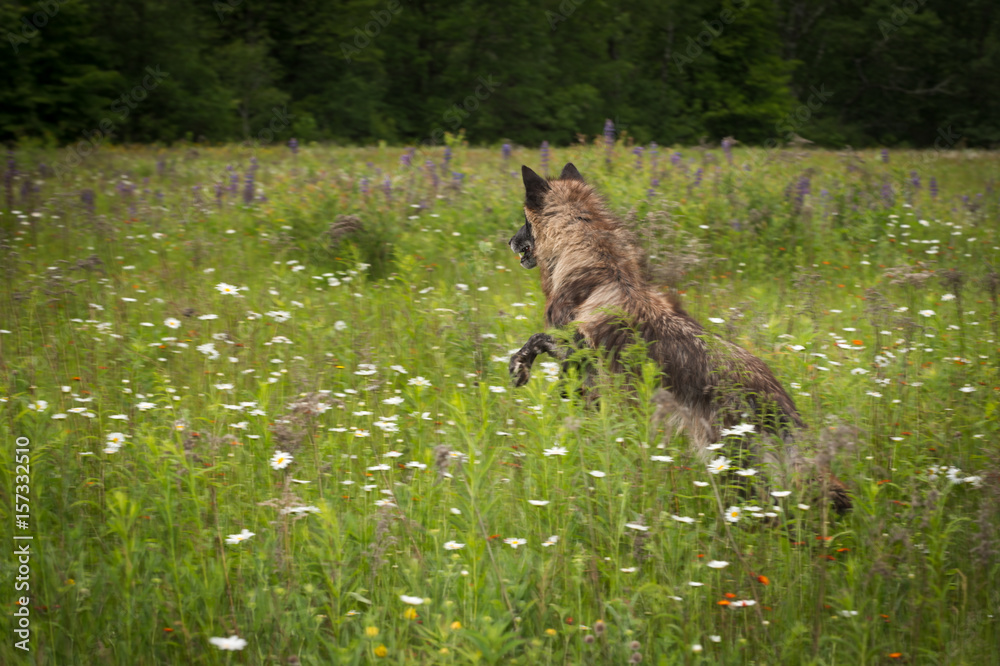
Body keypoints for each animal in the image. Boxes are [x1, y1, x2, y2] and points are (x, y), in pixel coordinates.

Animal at [508, 163, 850, 512]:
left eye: (524, 221)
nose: (509, 241)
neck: (599, 263)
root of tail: (776, 396)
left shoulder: (578, 350)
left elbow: (536, 340)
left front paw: (520, 368)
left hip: (729, 459)